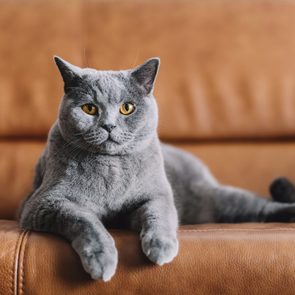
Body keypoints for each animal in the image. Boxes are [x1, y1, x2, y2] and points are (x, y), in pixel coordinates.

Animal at [17, 56, 295, 282]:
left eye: (127, 108)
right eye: (89, 108)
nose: (109, 126)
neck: (112, 168)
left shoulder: (156, 194)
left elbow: (158, 213)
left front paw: (161, 247)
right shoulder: (45, 202)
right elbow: (84, 220)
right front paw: (102, 260)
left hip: (219, 199)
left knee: (260, 206)